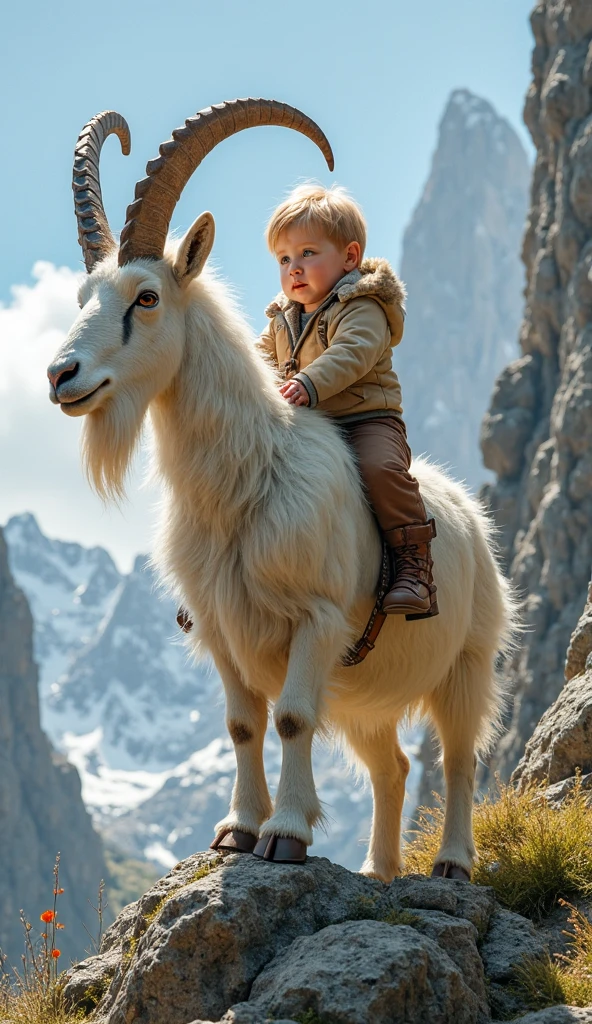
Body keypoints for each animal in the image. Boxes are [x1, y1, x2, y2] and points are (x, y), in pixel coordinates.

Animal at [47, 101, 515, 882]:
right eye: (84, 297)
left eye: (146, 297)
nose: (61, 375)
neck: (247, 480)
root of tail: (473, 519)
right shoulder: (220, 629)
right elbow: (243, 724)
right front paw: (237, 829)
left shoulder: (316, 619)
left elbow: (293, 718)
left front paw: (286, 835)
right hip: (365, 696)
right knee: (391, 766)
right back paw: (377, 871)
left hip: (468, 663)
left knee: (458, 756)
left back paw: (451, 864)